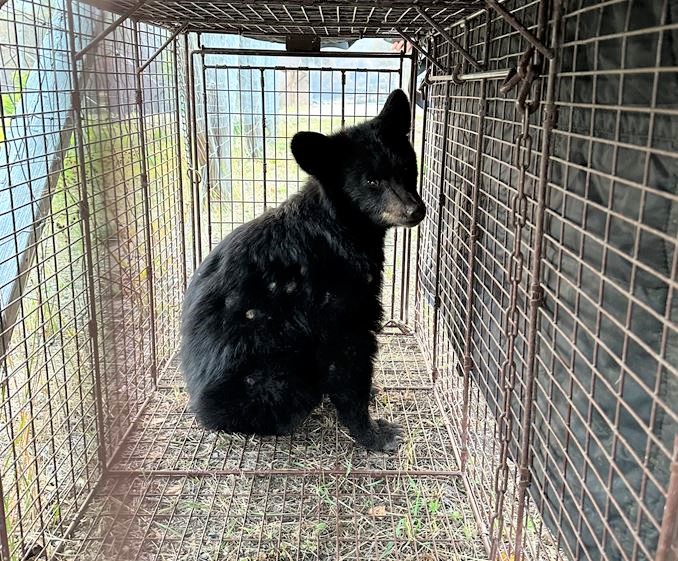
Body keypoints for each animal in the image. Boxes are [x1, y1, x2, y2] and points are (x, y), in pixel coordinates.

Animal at [181, 89, 425, 452]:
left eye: (408, 167)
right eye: (371, 180)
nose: (415, 210)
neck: (339, 226)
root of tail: (200, 406)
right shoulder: (338, 307)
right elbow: (349, 367)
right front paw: (372, 434)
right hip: (280, 370)